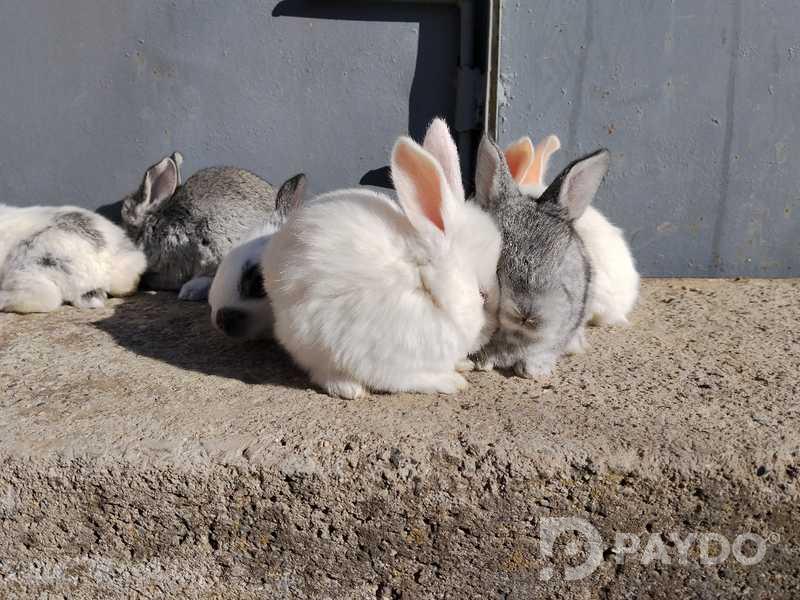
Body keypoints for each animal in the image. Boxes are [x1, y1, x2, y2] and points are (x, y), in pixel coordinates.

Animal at [262, 119, 502, 399]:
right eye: (482, 295)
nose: (494, 328)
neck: (423, 283)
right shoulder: (388, 359)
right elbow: (410, 379)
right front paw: (451, 382)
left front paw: (461, 365)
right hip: (310, 334)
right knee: (319, 369)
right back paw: (349, 388)